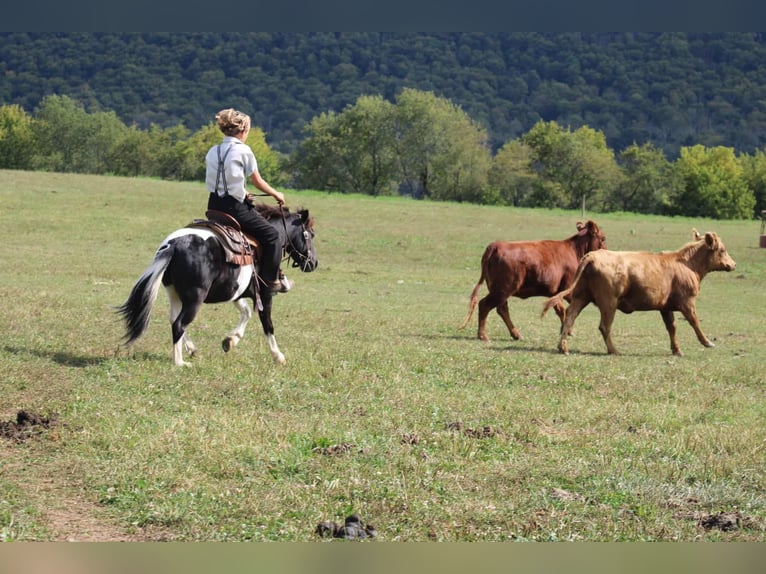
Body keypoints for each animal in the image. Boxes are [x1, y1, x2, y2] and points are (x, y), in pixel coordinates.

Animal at [117, 204, 318, 366]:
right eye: (311, 235)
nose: (314, 263)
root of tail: (174, 245)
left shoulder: (236, 292)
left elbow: (246, 312)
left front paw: (230, 341)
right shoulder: (264, 294)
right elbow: (267, 324)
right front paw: (278, 356)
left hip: (174, 293)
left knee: (174, 320)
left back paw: (192, 350)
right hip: (195, 298)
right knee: (179, 324)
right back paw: (180, 362)